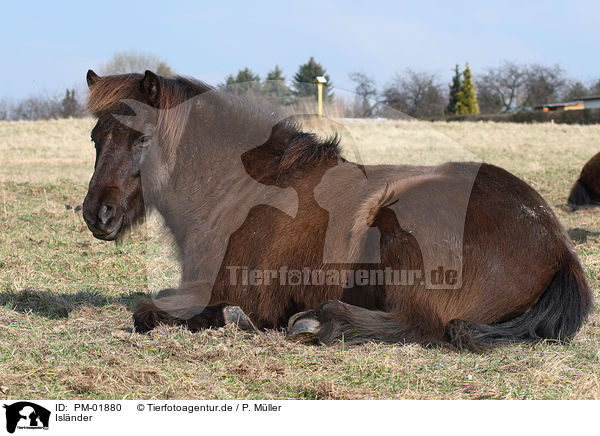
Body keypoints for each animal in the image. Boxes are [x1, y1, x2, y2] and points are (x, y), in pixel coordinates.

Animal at [82, 70, 592, 352]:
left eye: (142, 138)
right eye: (95, 137)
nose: (96, 214)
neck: (240, 191)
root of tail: (558, 248)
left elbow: (146, 311)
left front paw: (225, 317)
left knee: (423, 327)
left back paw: (319, 321)